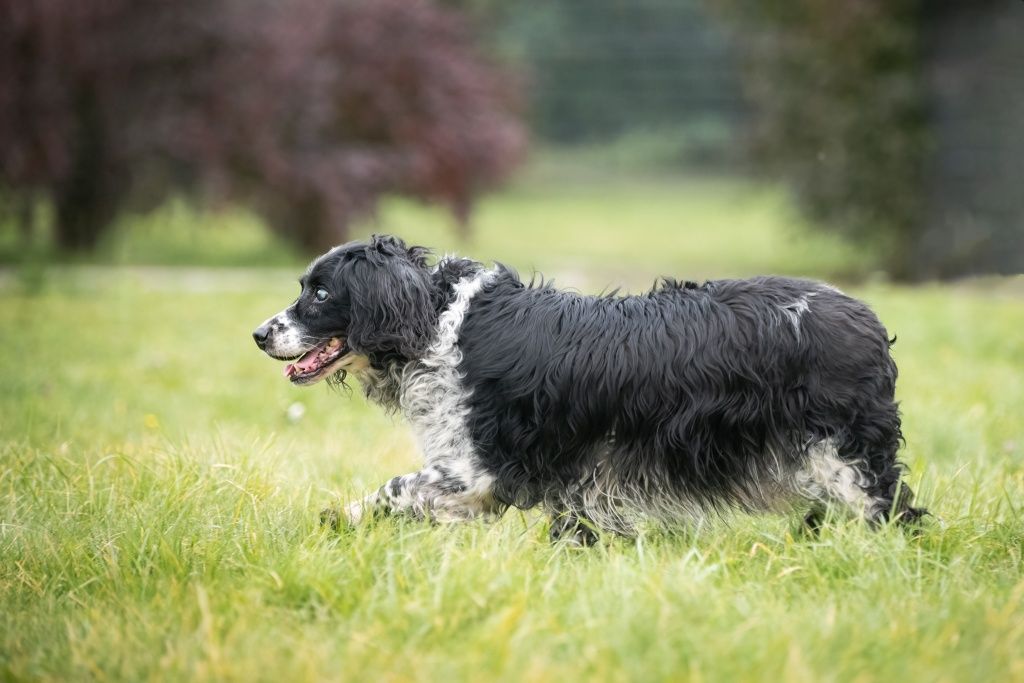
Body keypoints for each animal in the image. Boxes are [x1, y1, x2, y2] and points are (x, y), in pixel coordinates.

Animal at [251, 235, 925, 544]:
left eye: (320, 292)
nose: (258, 333)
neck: (436, 322)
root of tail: (866, 318)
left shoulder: (478, 469)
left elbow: (394, 489)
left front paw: (340, 517)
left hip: (845, 453)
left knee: (893, 510)